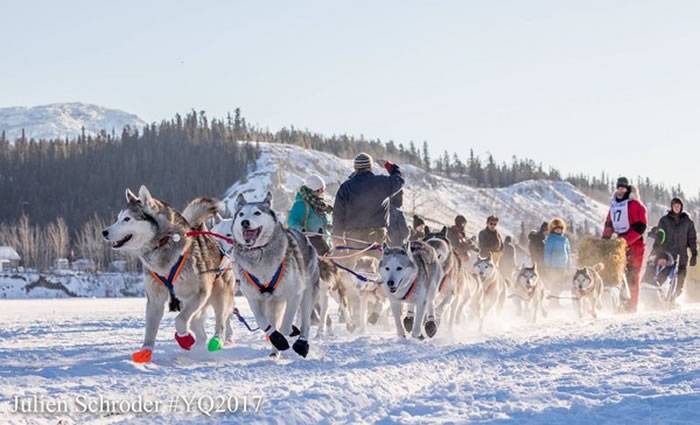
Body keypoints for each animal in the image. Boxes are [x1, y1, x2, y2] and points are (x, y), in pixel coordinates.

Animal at [102, 186, 237, 362]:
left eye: (127, 219)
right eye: (118, 218)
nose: (104, 232)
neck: (162, 244)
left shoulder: (200, 292)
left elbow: (179, 320)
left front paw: (185, 338)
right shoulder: (154, 299)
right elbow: (150, 330)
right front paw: (146, 351)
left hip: (218, 295)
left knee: (219, 321)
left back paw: (216, 341)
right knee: (196, 324)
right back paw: (200, 345)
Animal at [230, 192, 320, 358]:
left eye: (257, 213)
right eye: (241, 214)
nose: (245, 222)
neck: (259, 253)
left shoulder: (295, 294)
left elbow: (286, 324)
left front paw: (288, 332)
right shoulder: (253, 298)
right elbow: (262, 322)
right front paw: (277, 339)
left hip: (308, 294)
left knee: (305, 321)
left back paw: (301, 343)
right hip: (272, 304)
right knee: (273, 320)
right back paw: (274, 351)